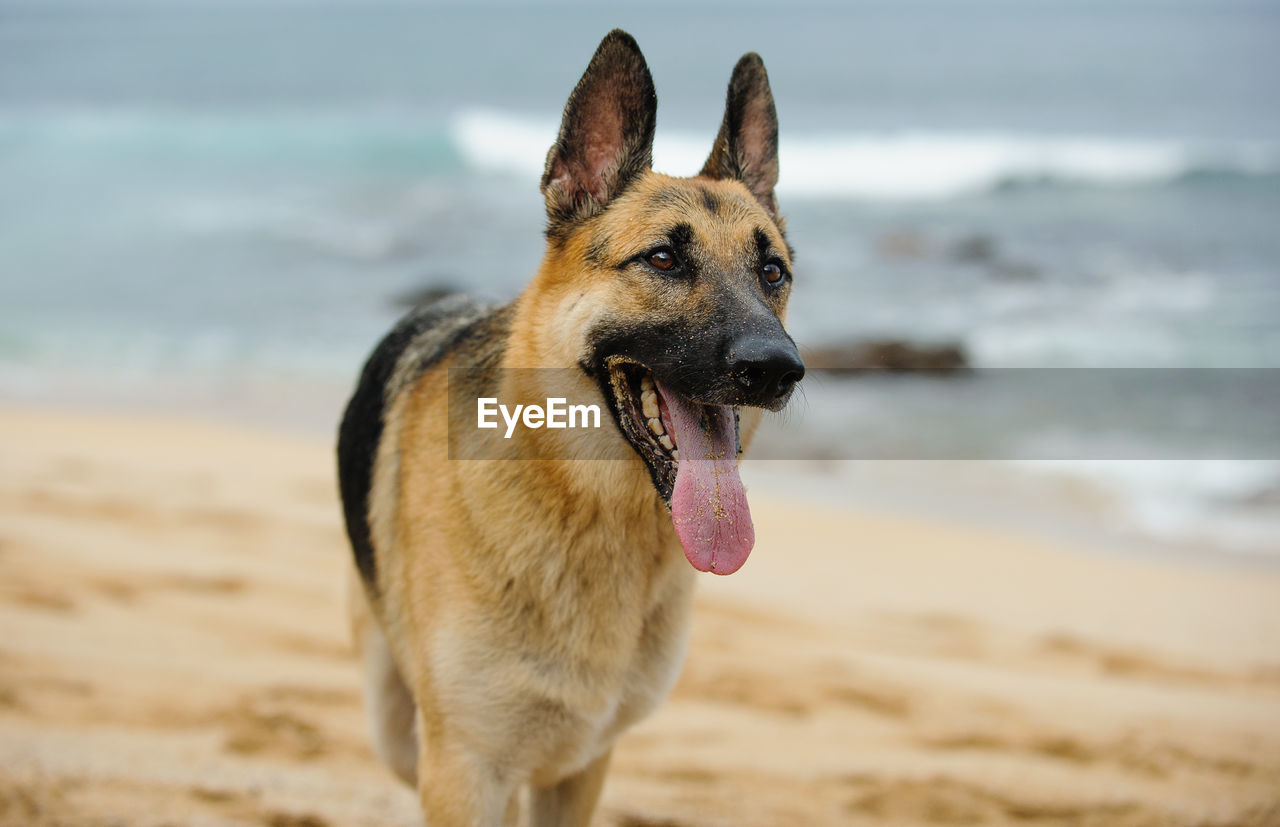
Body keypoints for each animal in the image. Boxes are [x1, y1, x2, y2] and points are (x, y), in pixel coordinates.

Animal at [340, 29, 798, 824]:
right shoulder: (461, 771)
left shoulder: (580, 767)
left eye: (771, 272)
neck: (586, 507)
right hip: (399, 730)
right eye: (664, 258)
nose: (777, 369)